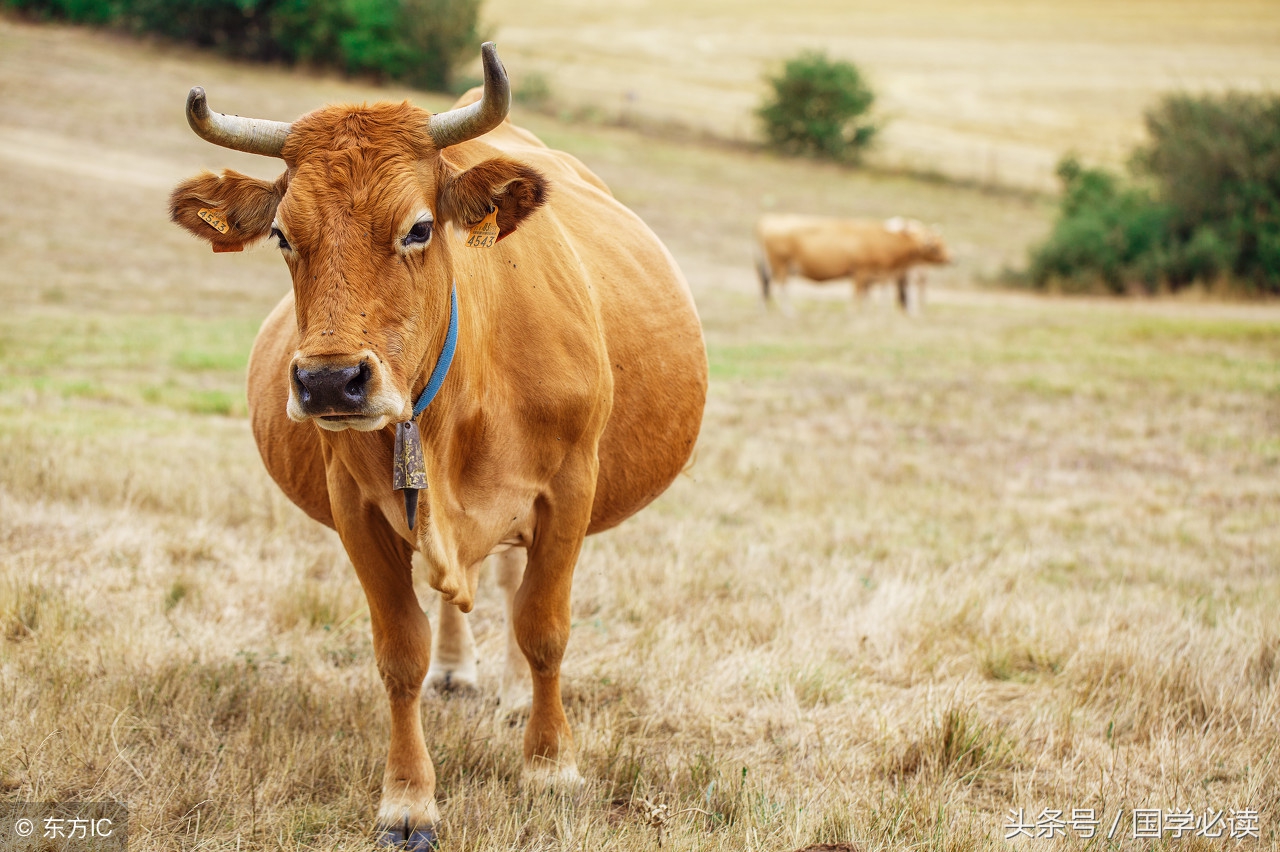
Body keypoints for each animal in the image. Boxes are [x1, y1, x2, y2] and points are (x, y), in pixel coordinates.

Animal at [165, 44, 706, 844]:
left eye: (419, 229)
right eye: (283, 235)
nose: (330, 382)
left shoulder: (568, 489)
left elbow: (544, 627)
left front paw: (551, 766)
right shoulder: (358, 508)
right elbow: (400, 651)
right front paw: (407, 801)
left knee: (514, 588)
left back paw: (514, 698)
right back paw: (458, 672)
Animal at [747, 213, 952, 313]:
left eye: (942, 243)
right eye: (936, 247)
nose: (953, 258)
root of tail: (766, 220)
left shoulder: (876, 275)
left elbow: (869, 296)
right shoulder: (862, 271)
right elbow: (859, 296)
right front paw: (855, 313)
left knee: (765, 285)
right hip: (780, 265)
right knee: (780, 288)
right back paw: (788, 312)